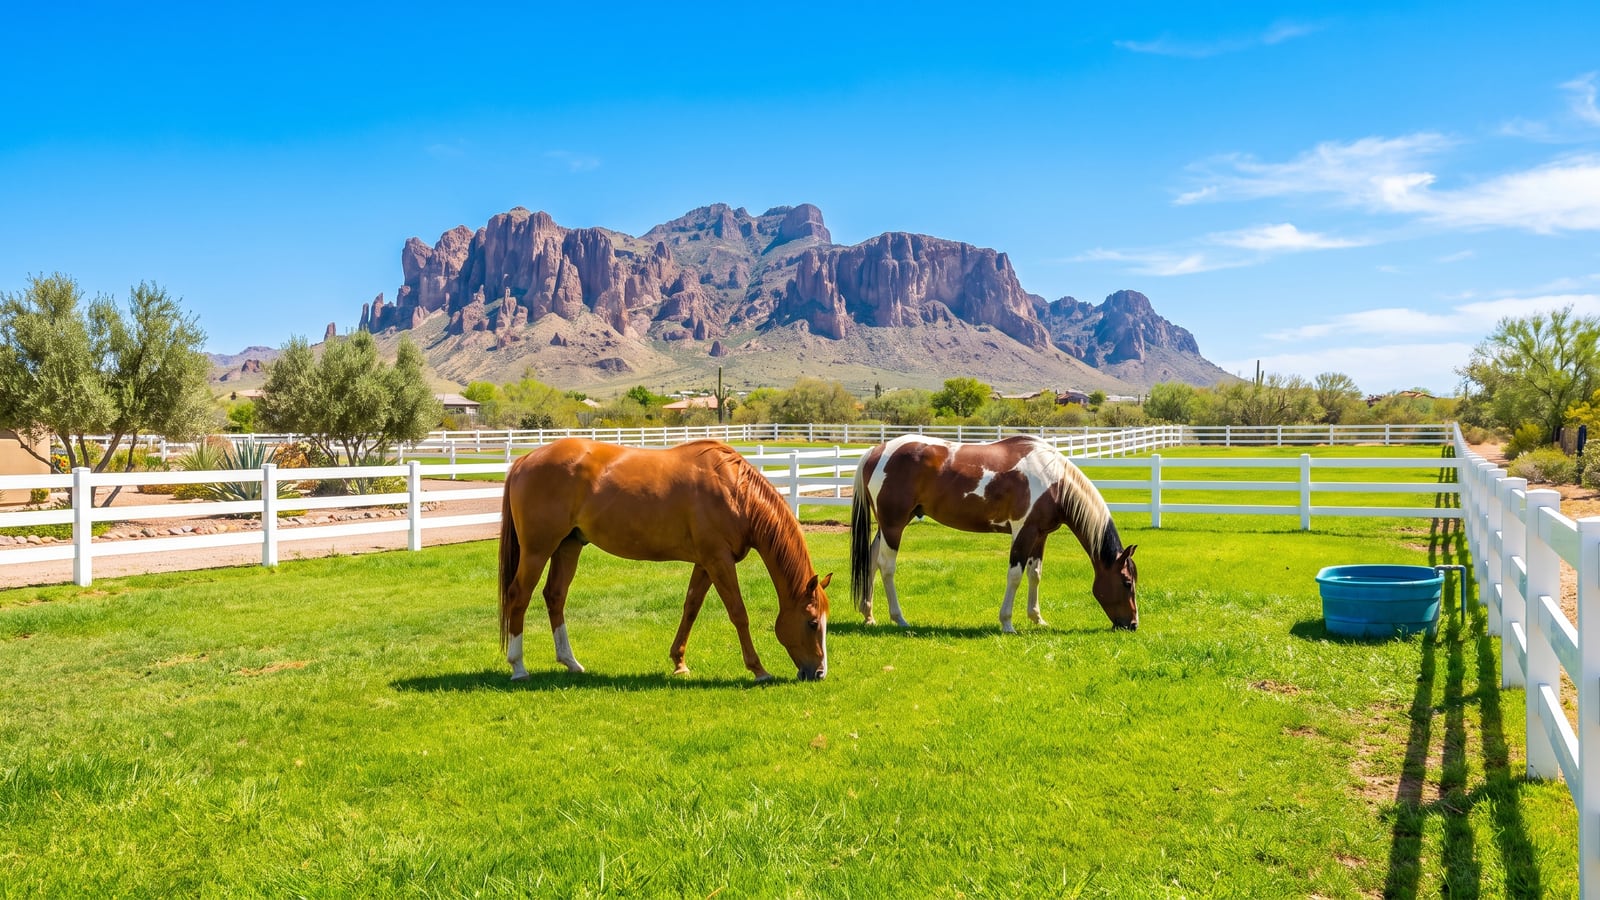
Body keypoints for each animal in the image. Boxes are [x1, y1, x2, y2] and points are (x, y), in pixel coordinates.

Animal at [499, 438, 832, 682]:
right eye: (813, 622)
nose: (819, 673)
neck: (735, 492)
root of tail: (524, 460)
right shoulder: (719, 561)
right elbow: (739, 613)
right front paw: (758, 669)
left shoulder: (706, 563)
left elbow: (691, 608)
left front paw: (679, 662)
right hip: (537, 550)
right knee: (519, 596)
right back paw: (518, 667)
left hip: (568, 546)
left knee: (555, 596)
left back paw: (570, 662)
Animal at [849, 434, 1138, 632]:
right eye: (1126, 582)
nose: (1133, 624)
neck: (1053, 480)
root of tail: (876, 451)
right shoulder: (1023, 532)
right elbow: (1015, 576)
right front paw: (1007, 623)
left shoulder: (1040, 535)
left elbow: (1035, 574)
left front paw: (1037, 618)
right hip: (894, 525)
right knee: (886, 566)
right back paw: (899, 618)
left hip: (887, 526)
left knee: (871, 561)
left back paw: (868, 615)